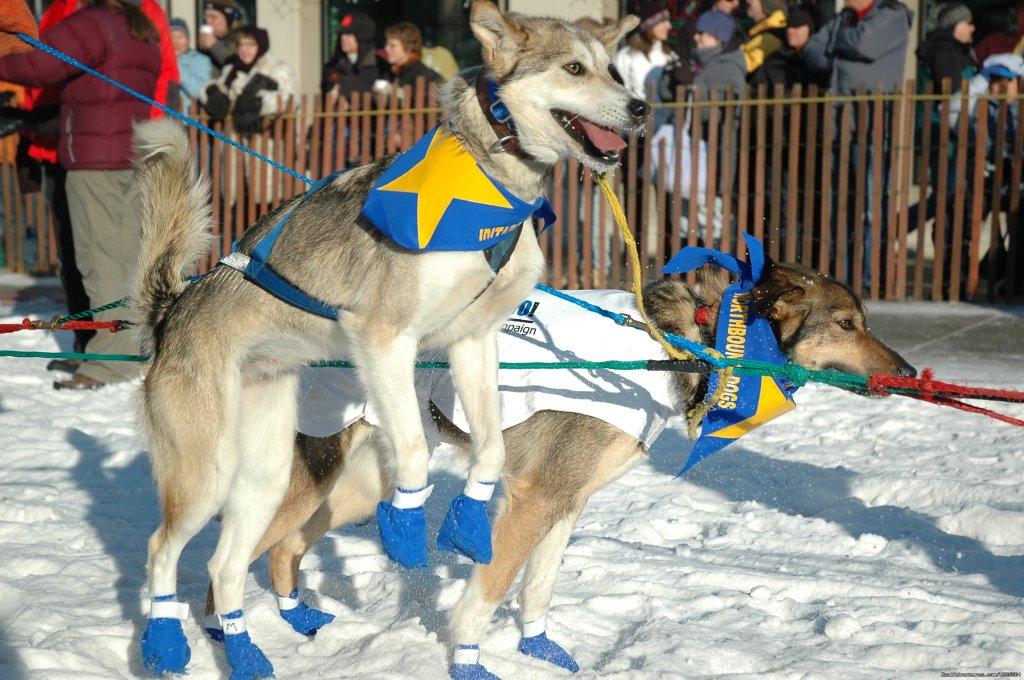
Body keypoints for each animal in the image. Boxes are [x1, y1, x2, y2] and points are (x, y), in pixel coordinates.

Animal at [130, 2, 647, 675]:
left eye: (613, 69)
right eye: (574, 68)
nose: (640, 108)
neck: (490, 185)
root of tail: (174, 310)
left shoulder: (471, 341)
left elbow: (490, 450)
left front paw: (466, 526)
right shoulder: (383, 339)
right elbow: (413, 450)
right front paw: (403, 529)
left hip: (266, 475)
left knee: (225, 563)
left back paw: (243, 652)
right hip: (207, 469)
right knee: (161, 548)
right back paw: (166, 641)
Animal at [207, 262, 921, 675]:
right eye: (848, 323)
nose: (911, 371)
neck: (680, 340)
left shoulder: (564, 504)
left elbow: (538, 589)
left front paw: (538, 647)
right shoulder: (532, 500)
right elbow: (486, 593)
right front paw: (468, 659)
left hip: (362, 485)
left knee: (283, 550)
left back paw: (294, 618)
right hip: (312, 478)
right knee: (229, 559)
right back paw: (224, 633)